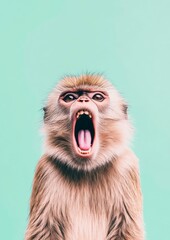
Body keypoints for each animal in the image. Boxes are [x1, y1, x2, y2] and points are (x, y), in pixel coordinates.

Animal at [24, 74, 145, 239]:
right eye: (70, 97)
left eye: (98, 97)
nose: (83, 100)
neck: (87, 169)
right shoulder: (45, 169)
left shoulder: (127, 165)